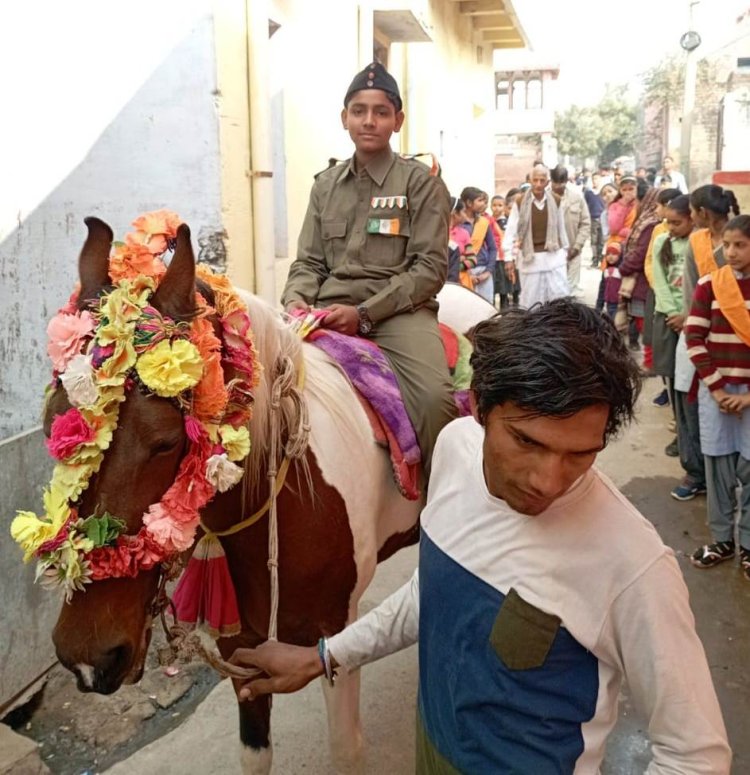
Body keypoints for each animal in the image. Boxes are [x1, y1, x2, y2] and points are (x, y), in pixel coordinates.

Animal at [44, 217, 496, 768]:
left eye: (166, 441)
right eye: (54, 426)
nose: (88, 658)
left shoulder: (334, 636)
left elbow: (346, 749)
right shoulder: (241, 646)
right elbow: (254, 753)